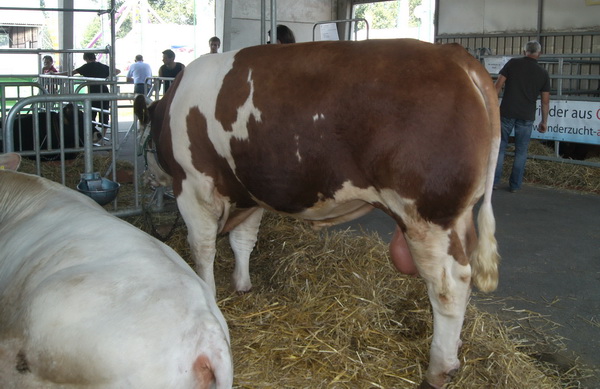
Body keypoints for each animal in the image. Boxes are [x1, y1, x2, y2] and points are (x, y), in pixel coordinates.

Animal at [136, 38, 502, 384]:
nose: (147, 177)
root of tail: (454, 56)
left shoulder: (193, 185)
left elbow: (202, 249)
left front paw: (209, 292)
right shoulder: (252, 190)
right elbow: (243, 241)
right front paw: (242, 284)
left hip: (427, 215)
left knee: (449, 285)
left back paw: (440, 367)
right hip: (458, 215)